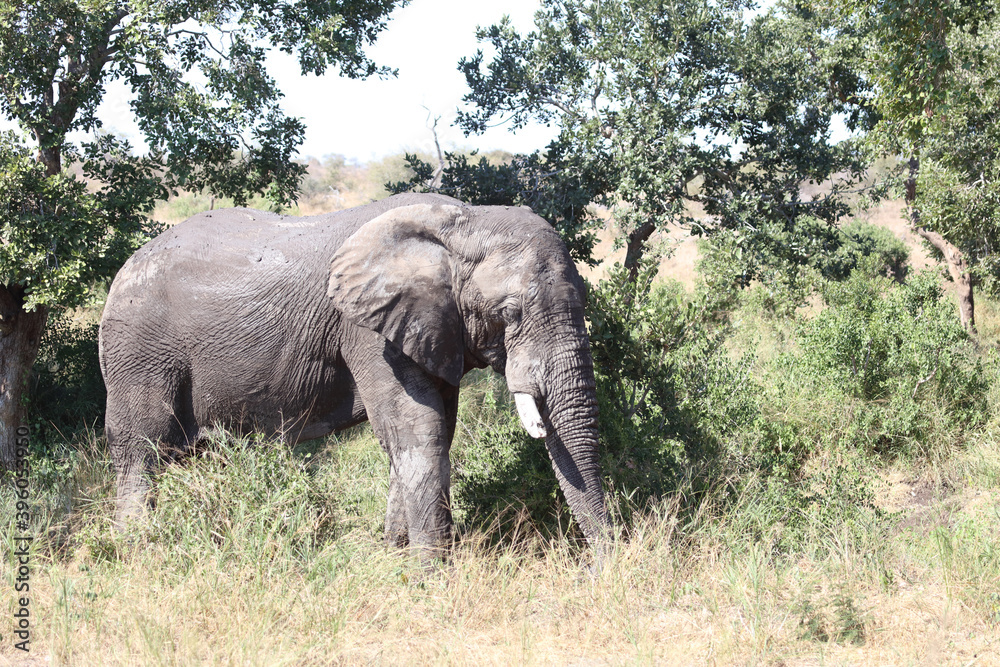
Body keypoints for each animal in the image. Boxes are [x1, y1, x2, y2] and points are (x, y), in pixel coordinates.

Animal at [99, 192, 610, 558]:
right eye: (510, 312)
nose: (604, 574)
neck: (465, 221)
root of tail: (122, 270)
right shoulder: (367, 329)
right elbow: (417, 431)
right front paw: (431, 578)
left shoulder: (434, 328)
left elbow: (433, 430)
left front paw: (395, 560)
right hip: (139, 353)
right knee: (141, 451)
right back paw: (138, 555)